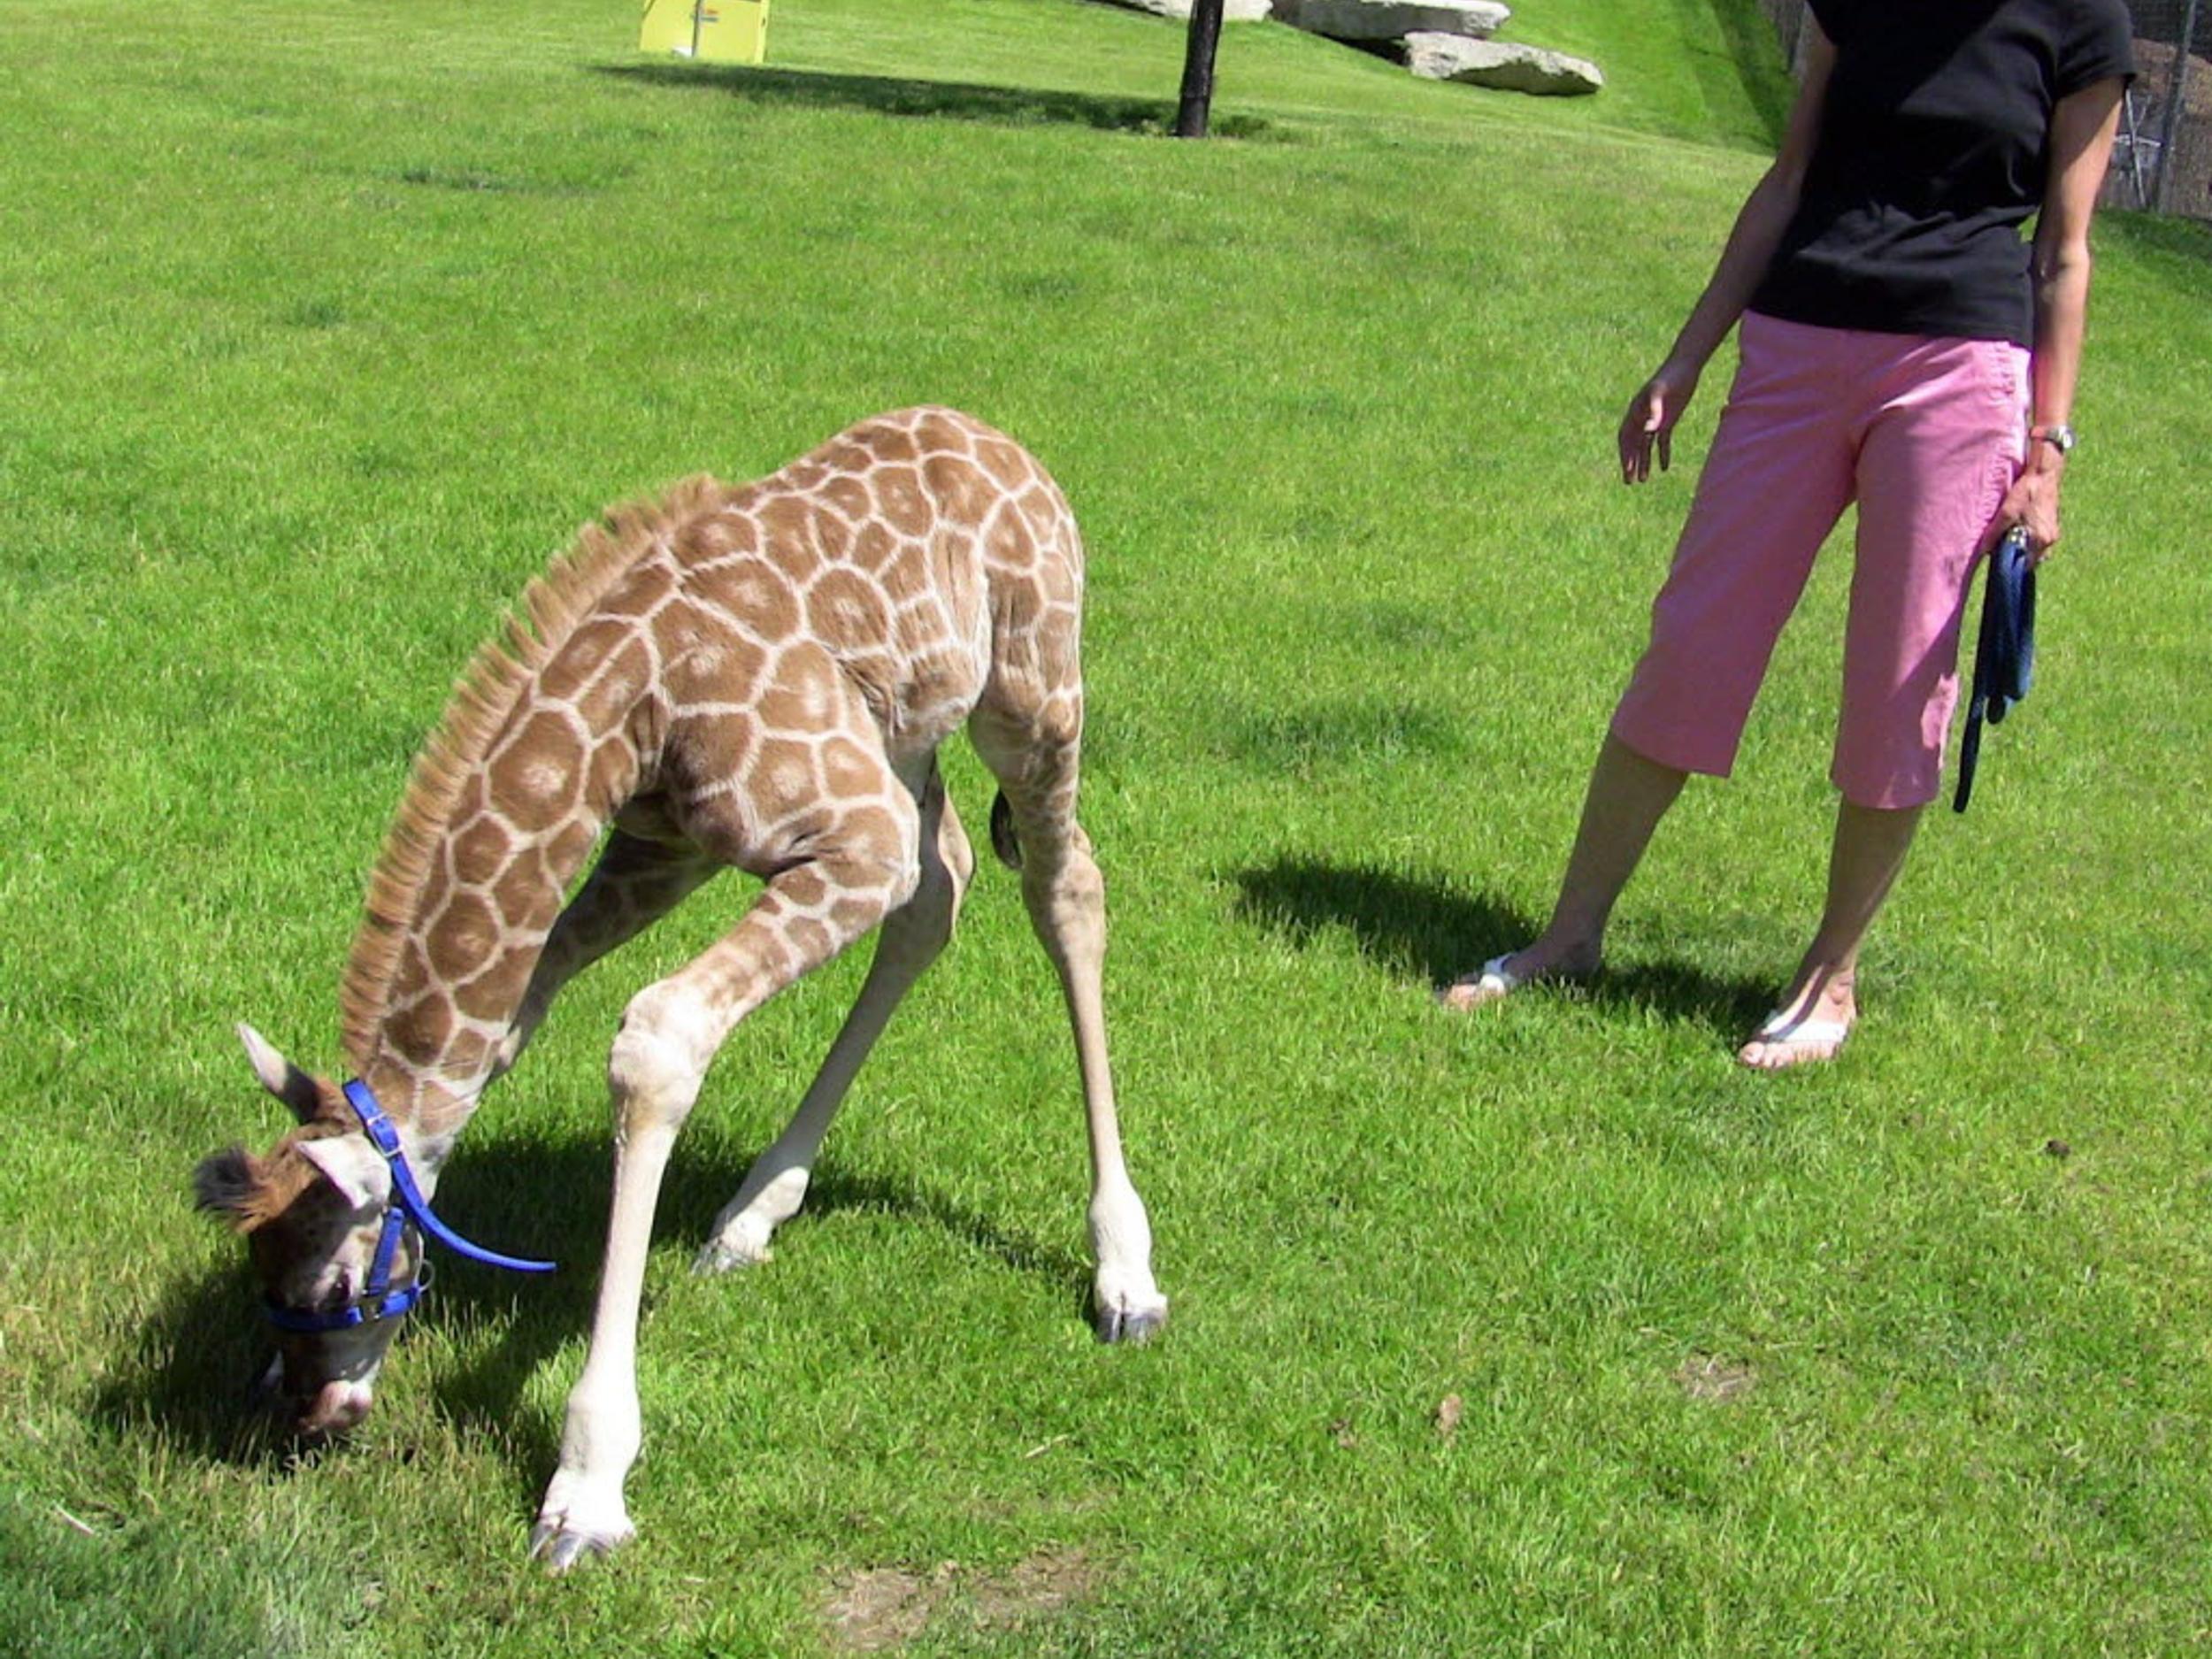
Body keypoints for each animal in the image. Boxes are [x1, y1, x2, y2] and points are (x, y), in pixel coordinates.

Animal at [191, 406, 1167, 1569]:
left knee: (1064, 890)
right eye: (258, 1273)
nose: (309, 1414)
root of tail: (1003, 442)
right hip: (902, 737)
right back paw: (749, 1218)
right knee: (940, 890)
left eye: (337, 1283)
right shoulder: (664, 850)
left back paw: (1125, 1274)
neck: (630, 712)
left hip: (1032, 692)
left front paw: (584, 1488)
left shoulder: (848, 837)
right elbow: (509, 1027)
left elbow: (657, 1040)